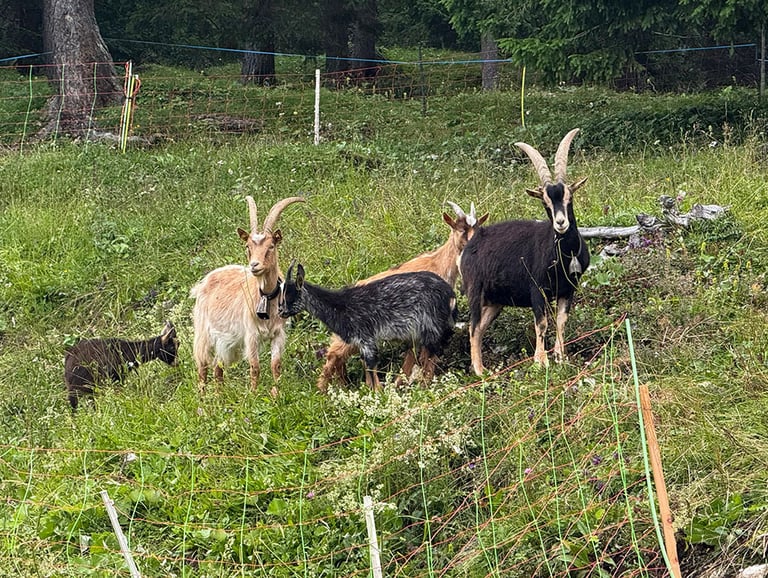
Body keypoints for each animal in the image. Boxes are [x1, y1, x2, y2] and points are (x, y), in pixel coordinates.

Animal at [190, 195, 304, 392]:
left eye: (271, 246)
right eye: (248, 246)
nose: (254, 265)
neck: (266, 298)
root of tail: (204, 281)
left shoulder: (278, 333)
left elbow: (276, 365)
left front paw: (277, 392)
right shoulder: (251, 335)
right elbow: (255, 366)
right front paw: (253, 393)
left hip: (225, 341)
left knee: (217, 368)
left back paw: (220, 397)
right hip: (204, 332)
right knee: (202, 365)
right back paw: (203, 398)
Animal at [278, 262, 456, 391]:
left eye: (289, 295)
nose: (280, 311)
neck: (340, 306)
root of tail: (450, 293)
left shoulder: (366, 338)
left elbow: (371, 366)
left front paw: (378, 393)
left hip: (430, 326)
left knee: (432, 356)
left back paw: (423, 386)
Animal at [316, 201, 488, 392]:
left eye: (478, 228)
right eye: (461, 229)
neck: (438, 264)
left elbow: (412, 358)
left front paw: (401, 383)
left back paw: (350, 385)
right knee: (334, 354)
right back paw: (323, 390)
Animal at [460, 128, 590, 374]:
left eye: (569, 197)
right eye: (545, 203)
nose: (561, 223)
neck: (565, 254)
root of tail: (469, 245)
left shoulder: (568, 289)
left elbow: (561, 321)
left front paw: (561, 357)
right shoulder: (536, 289)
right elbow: (542, 323)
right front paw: (541, 361)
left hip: (496, 301)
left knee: (480, 328)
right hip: (475, 289)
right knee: (473, 327)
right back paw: (479, 371)